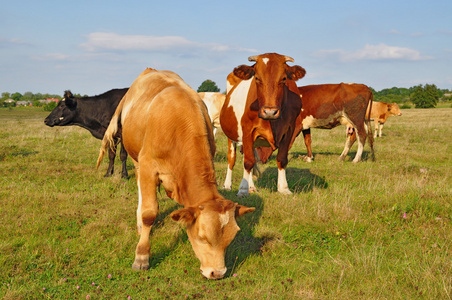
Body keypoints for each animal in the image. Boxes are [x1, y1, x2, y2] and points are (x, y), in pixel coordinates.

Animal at [96, 68, 254, 278]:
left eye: (231, 237)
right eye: (202, 237)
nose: (217, 273)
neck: (180, 124)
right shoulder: (148, 166)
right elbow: (149, 212)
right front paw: (141, 257)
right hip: (136, 158)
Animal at [220, 52, 308, 196]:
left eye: (284, 79)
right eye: (256, 78)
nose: (269, 112)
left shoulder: (289, 130)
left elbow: (282, 159)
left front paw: (284, 188)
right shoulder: (247, 130)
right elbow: (248, 162)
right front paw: (242, 190)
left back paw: (251, 186)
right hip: (231, 135)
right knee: (232, 159)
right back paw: (227, 185)